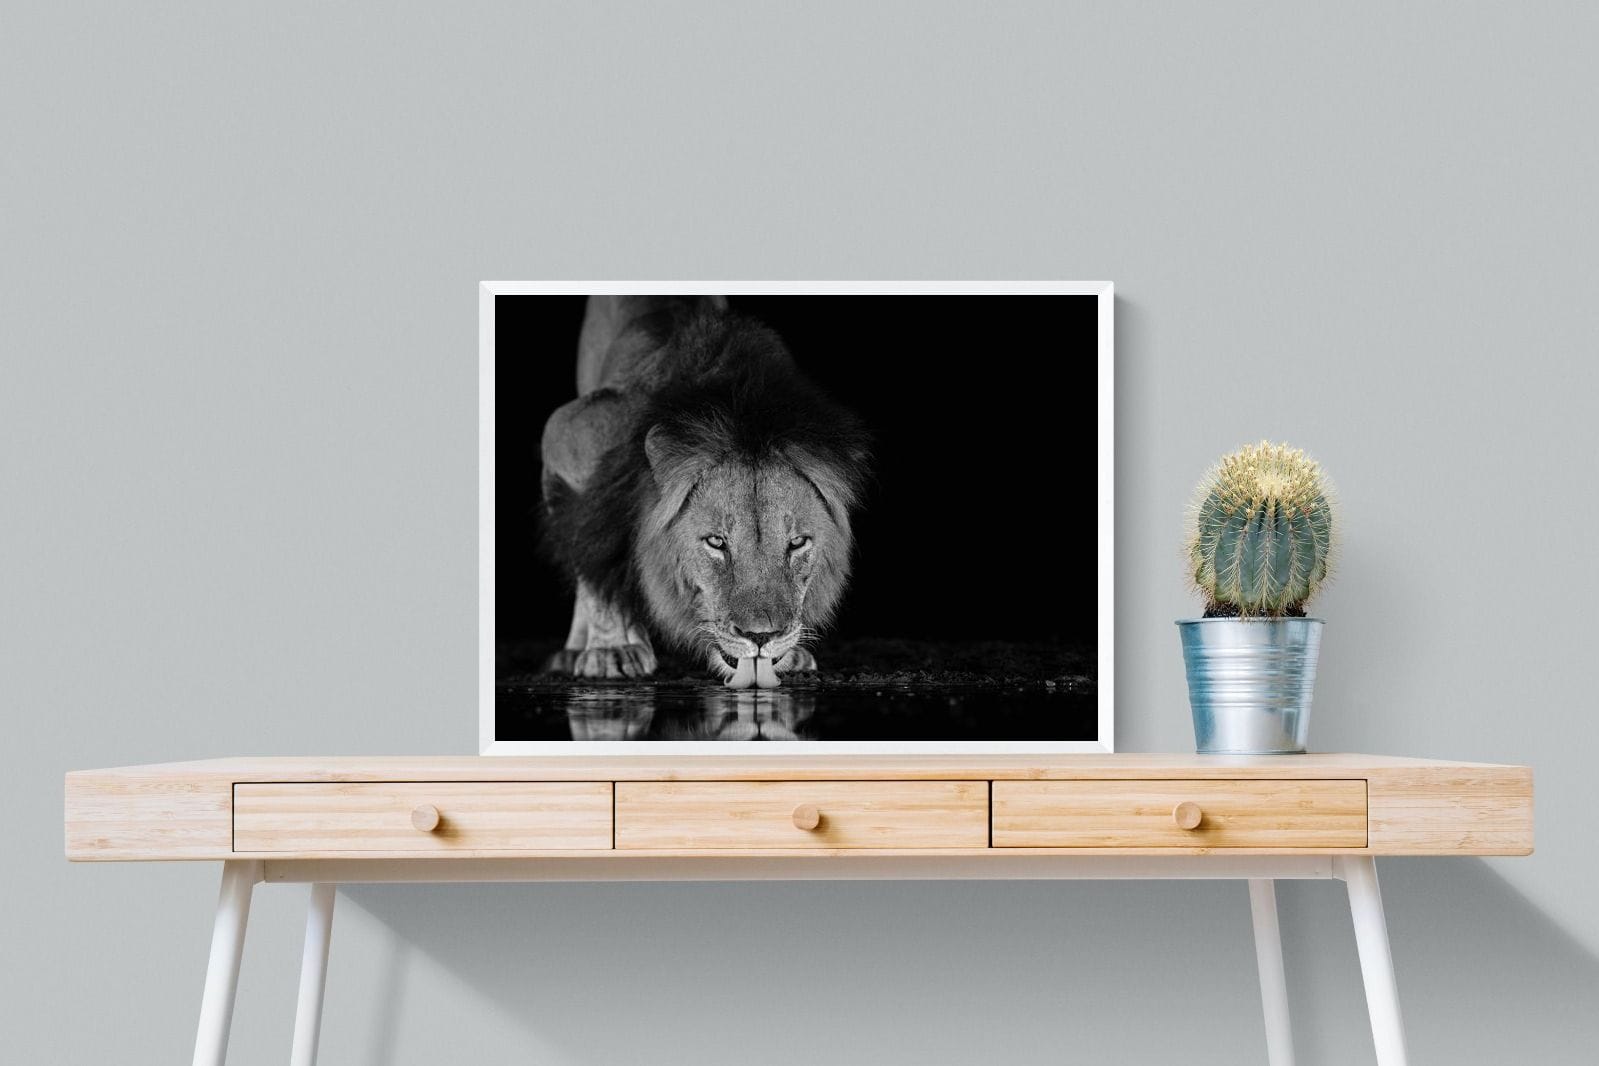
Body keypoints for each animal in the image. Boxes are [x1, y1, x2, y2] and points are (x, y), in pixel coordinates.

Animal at [538, 295, 870, 686]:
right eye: (716, 542)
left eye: (798, 543)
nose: (761, 637)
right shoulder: (569, 434)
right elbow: (594, 550)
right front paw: (611, 650)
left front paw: (792, 654)